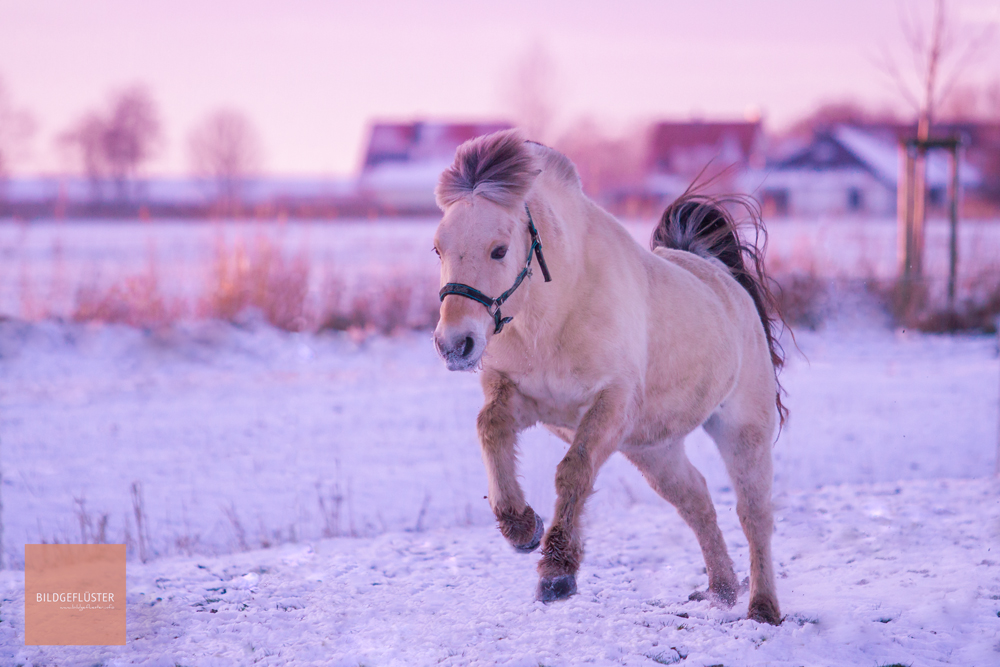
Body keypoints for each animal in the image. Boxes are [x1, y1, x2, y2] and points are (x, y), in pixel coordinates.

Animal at [428, 129, 780, 628]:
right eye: (438, 248)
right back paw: (721, 591)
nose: (455, 344)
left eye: (498, 249)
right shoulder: (522, 398)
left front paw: (557, 572)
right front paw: (521, 527)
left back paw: (763, 609)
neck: (553, 315)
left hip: (742, 431)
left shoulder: (609, 405)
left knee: (754, 514)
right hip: (654, 450)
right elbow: (490, 430)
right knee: (696, 501)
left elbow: (573, 471)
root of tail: (720, 275)